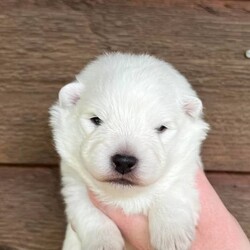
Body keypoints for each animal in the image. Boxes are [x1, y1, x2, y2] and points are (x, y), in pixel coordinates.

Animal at [49, 51, 209, 249]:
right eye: (96, 120)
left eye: (161, 128)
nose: (124, 162)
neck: (126, 197)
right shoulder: (74, 183)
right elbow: (89, 211)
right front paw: (104, 243)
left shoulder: (186, 168)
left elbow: (173, 191)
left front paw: (171, 237)